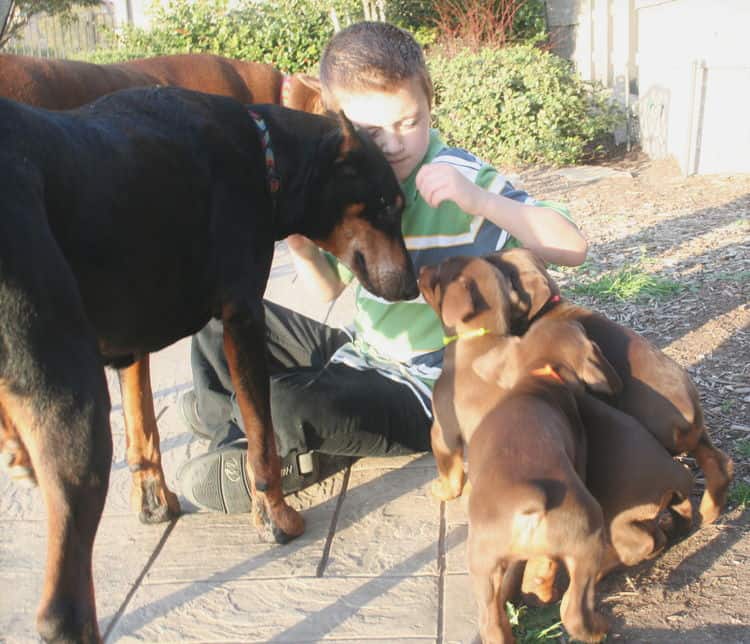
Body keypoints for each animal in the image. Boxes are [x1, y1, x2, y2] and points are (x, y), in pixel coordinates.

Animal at [0, 87, 418, 644]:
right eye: (388, 204)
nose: (413, 286)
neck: (265, 157)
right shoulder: (242, 312)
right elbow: (261, 436)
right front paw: (275, 518)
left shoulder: (133, 334)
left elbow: (143, 428)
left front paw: (154, 503)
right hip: (72, 396)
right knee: (61, 609)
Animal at [488, 245, 736, 524]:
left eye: (502, 269)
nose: (485, 257)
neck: (548, 308)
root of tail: (690, 416)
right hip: (698, 438)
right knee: (719, 463)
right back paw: (710, 511)